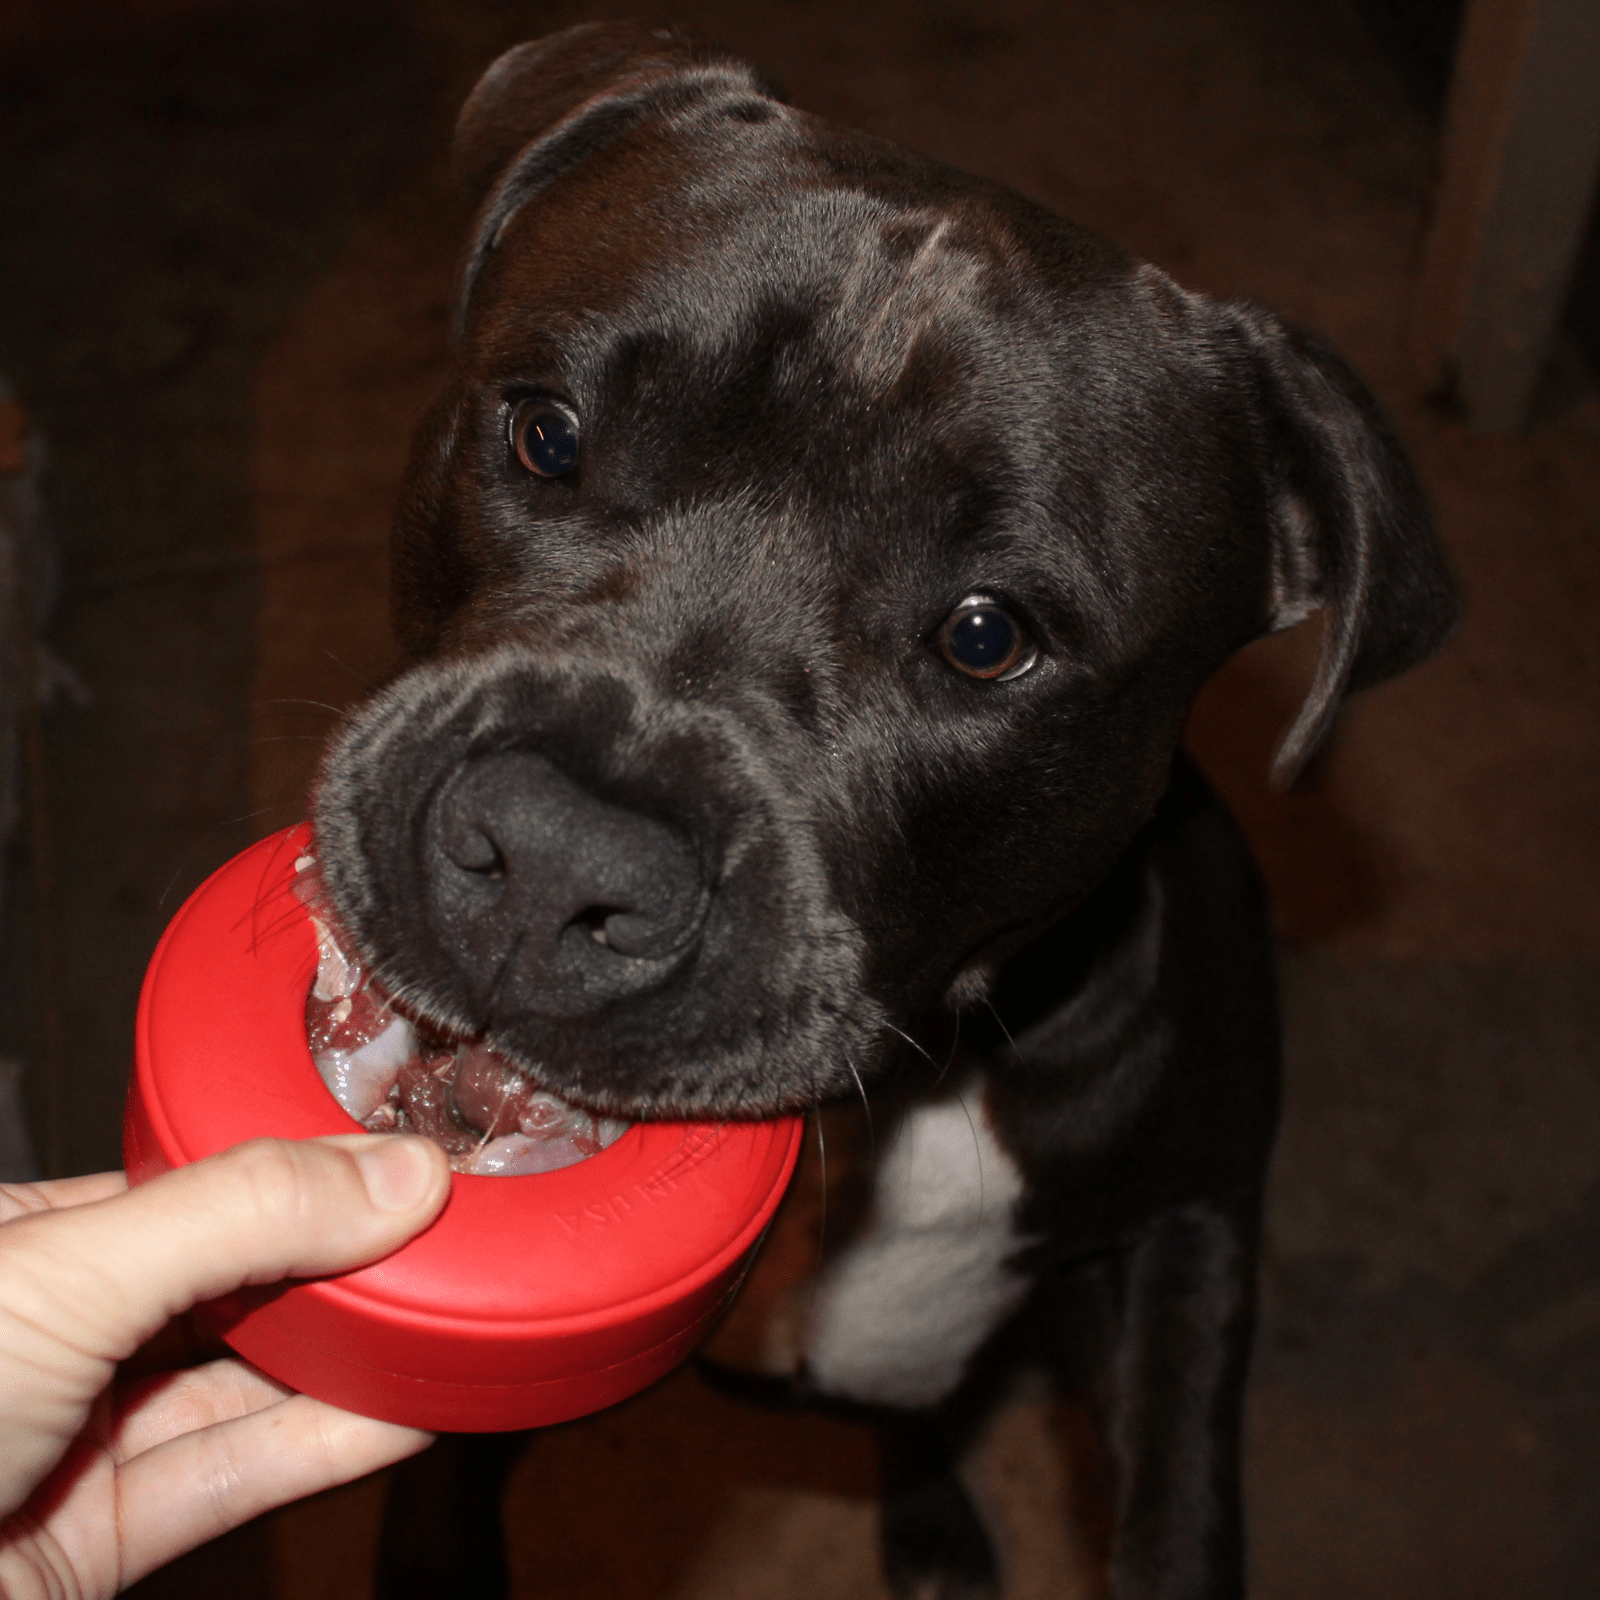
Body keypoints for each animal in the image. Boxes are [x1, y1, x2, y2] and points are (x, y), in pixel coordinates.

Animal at [312, 25, 1465, 1600]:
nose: (553, 864)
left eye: (987, 638)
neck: (913, 1083)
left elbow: (1178, 1512)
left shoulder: (1193, 1218)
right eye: (547, 434)